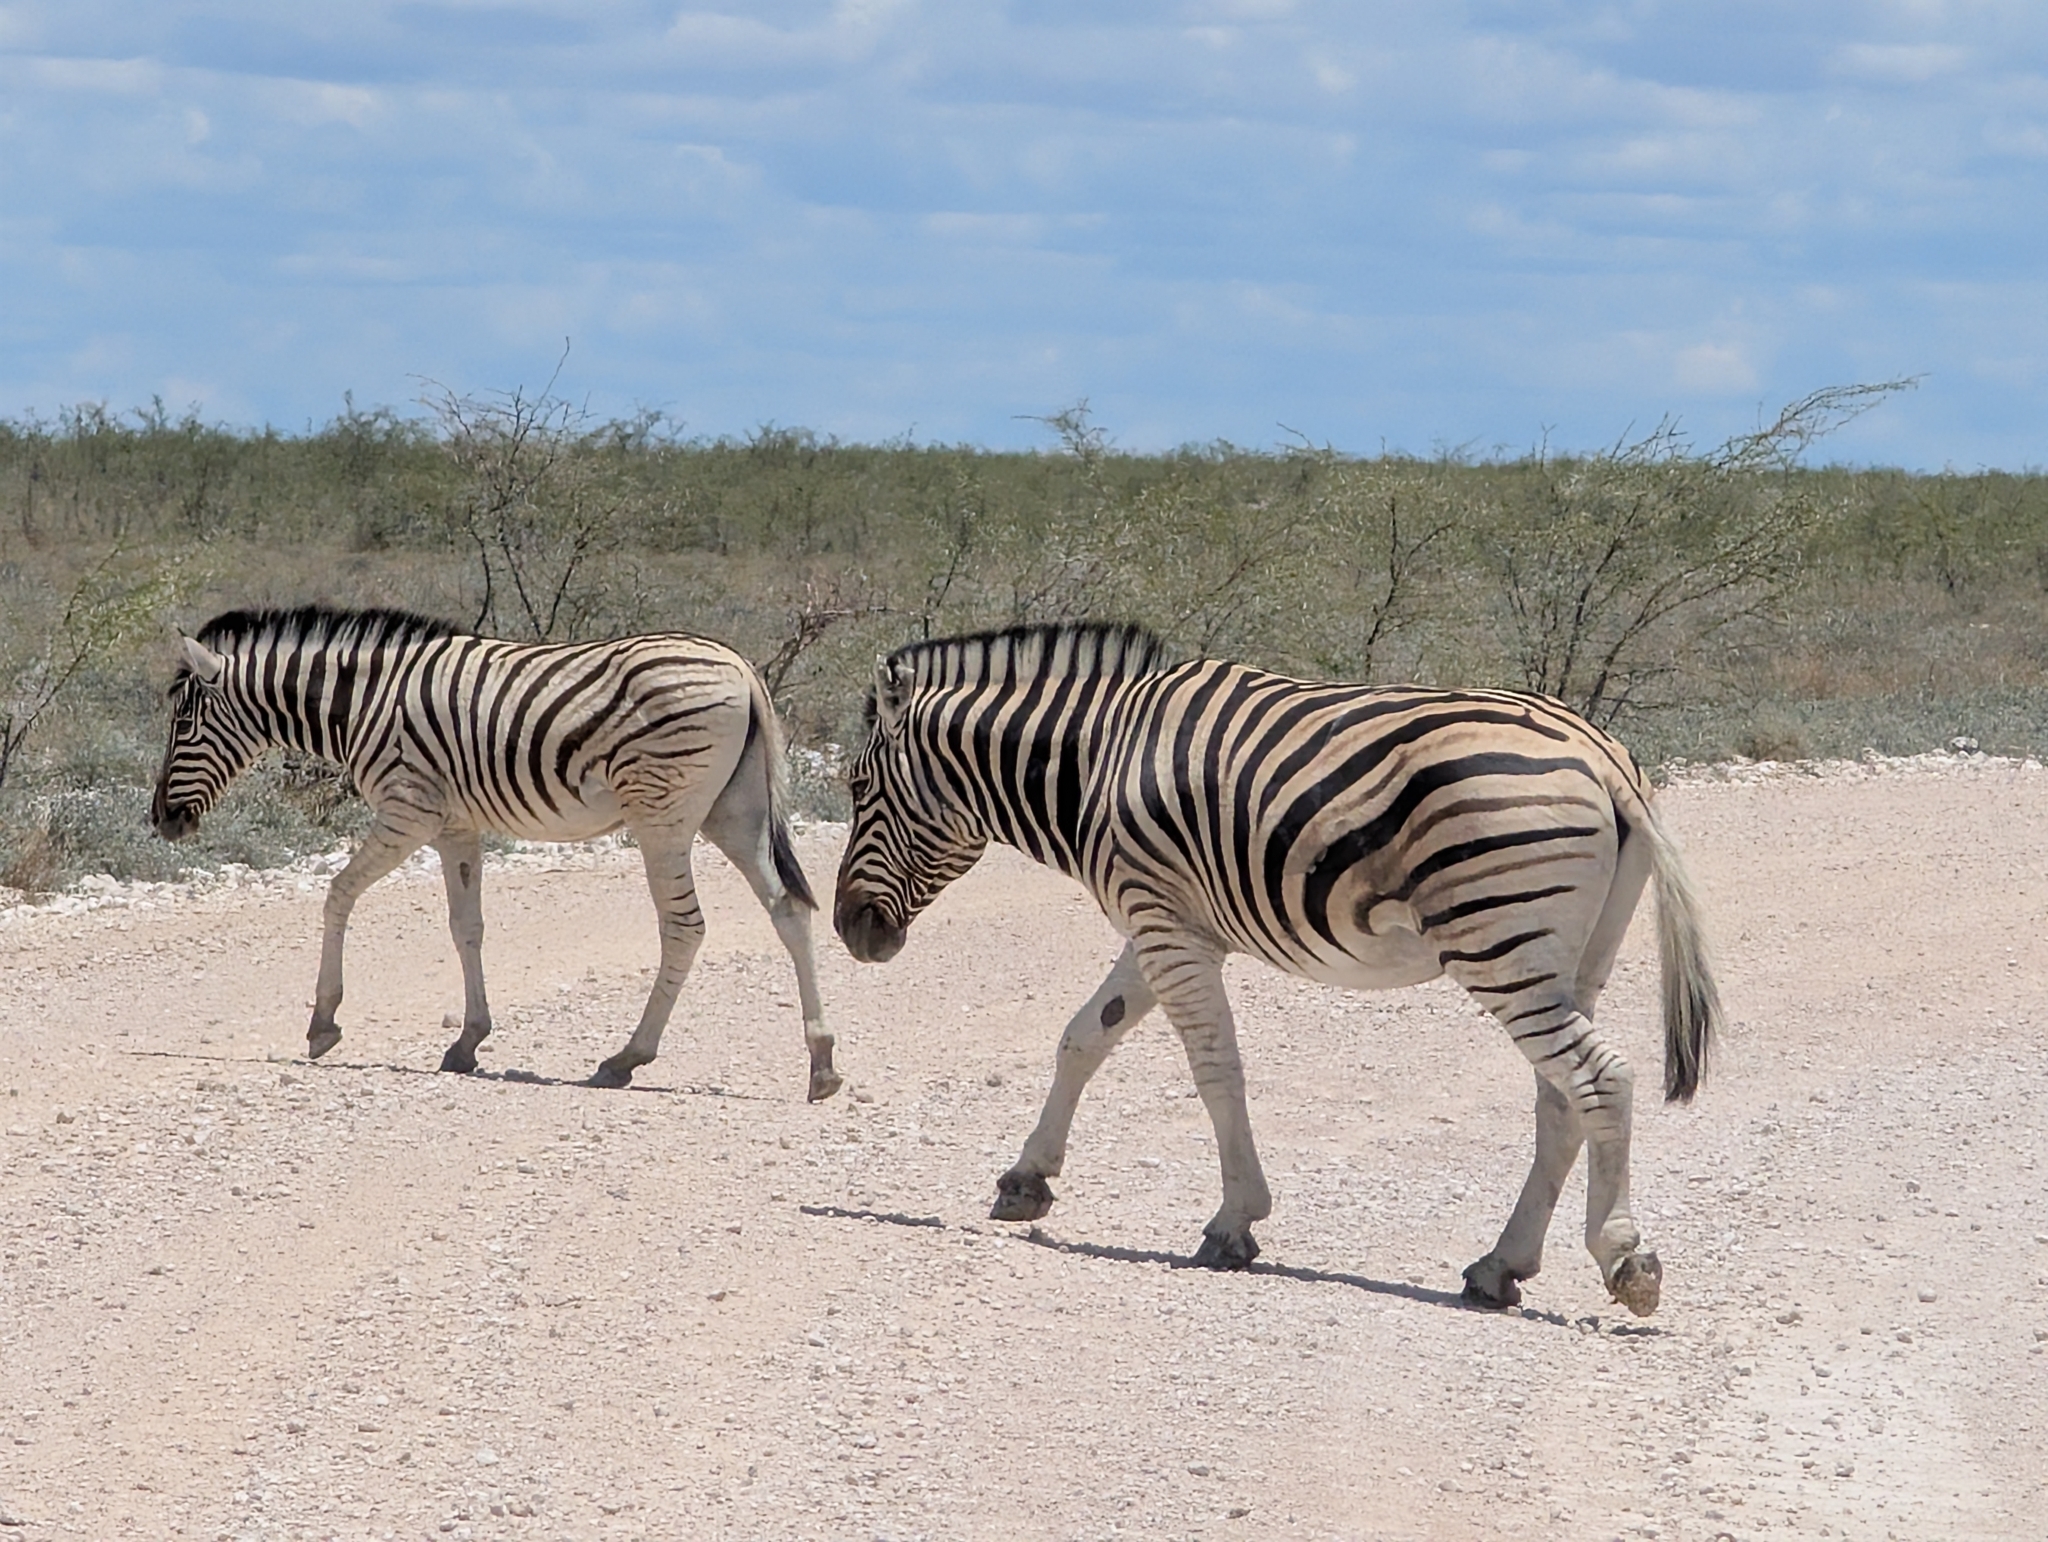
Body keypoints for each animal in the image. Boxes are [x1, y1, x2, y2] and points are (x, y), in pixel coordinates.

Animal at [148, 602, 839, 1097]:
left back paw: (626, 1058)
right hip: (734, 811)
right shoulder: (456, 825)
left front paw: (324, 1023)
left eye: (183, 725)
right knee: (788, 910)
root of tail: (741, 668)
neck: (363, 703)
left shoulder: (409, 809)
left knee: (684, 927)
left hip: (663, 815)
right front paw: (469, 1041)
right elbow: (467, 927)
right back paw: (822, 1063)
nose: (161, 822)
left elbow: (338, 894)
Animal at [839, 618, 1720, 1318]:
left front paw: (1234, 1222)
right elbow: (1084, 1038)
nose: (851, 931)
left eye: (855, 787)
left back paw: (1625, 1258)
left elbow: (1214, 1069)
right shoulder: (1164, 921)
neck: (1096, 759)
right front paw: (1026, 1179)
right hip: (1569, 958)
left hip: (1498, 941)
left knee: (1601, 1079)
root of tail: (1605, 756)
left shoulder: (1165, 924)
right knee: (1560, 1099)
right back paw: (1499, 1267)